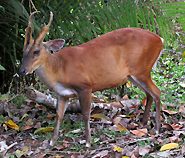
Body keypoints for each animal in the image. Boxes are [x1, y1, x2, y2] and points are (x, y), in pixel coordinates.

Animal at [19, 11, 163, 148]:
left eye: (36, 51)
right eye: (23, 51)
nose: (22, 70)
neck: (59, 69)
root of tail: (160, 39)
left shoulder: (85, 86)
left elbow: (86, 114)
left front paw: (88, 142)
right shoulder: (61, 94)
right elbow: (59, 115)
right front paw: (52, 142)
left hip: (142, 69)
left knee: (157, 92)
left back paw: (156, 129)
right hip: (132, 75)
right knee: (149, 94)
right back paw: (143, 123)